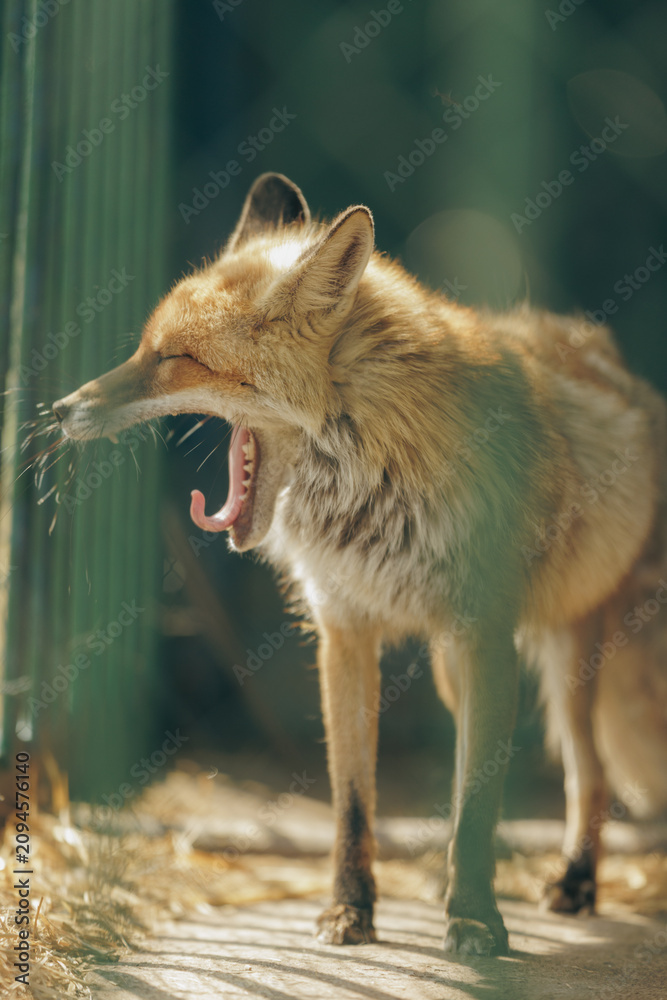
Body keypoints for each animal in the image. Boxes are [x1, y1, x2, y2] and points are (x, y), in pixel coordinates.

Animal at [52, 173, 667, 956]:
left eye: (173, 358)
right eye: (142, 349)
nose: (61, 409)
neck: (373, 489)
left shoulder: (482, 630)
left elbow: (477, 803)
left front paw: (474, 918)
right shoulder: (345, 627)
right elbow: (353, 803)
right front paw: (351, 910)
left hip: (566, 658)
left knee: (588, 776)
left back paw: (576, 882)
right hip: (455, 670)